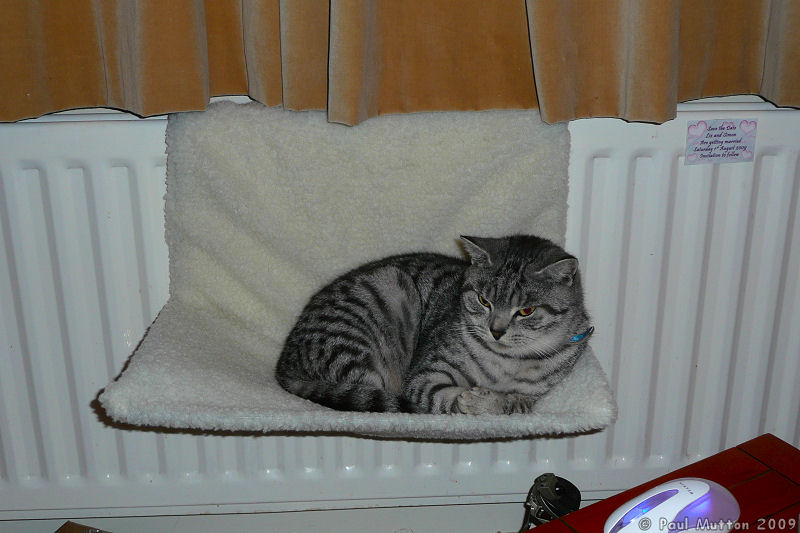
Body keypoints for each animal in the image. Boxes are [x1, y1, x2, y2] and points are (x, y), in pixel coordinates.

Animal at [276, 235, 592, 414]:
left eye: (526, 311)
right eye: (483, 300)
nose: (496, 330)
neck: (506, 362)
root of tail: (284, 364)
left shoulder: (535, 394)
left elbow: (514, 403)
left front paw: (488, 401)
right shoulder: (426, 374)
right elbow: (442, 397)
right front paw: (470, 400)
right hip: (377, 309)